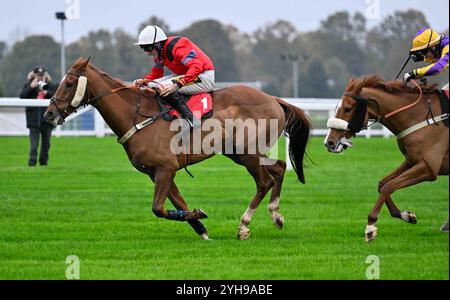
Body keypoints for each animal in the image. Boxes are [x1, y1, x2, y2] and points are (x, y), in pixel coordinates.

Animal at [44, 58, 312, 241]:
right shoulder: (157, 172)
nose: (49, 114)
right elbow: (178, 203)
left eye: (69, 83)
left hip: (248, 153)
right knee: (279, 168)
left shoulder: (166, 168)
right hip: (239, 152)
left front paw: (200, 216)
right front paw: (201, 225)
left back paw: (244, 225)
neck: (136, 116)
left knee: (264, 182)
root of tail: (273, 99)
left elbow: (158, 209)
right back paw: (276, 215)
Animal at [326, 75, 448, 241]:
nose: (329, 142)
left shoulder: (429, 168)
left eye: (347, 108)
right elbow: (382, 184)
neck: (422, 117)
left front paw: (370, 226)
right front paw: (406, 215)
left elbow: (389, 186)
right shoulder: (411, 161)